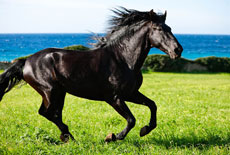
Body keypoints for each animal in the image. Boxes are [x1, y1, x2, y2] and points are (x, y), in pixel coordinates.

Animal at [0, 7, 183, 143]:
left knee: (54, 113)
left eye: (170, 28)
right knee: (46, 112)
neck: (124, 59)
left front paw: (145, 130)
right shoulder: (114, 97)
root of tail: (26, 61)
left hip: (60, 93)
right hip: (50, 91)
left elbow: (153, 105)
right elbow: (131, 120)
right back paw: (69, 136)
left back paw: (67, 137)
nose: (177, 50)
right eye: (158, 29)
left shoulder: (130, 93)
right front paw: (112, 137)